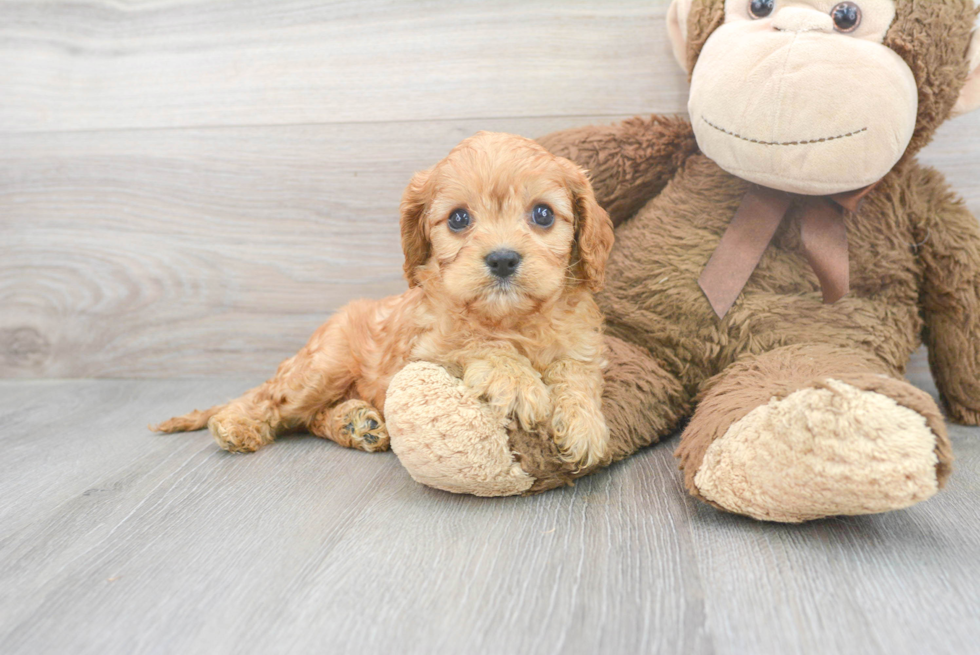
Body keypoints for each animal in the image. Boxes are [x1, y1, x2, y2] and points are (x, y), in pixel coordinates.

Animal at [155, 131, 612, 466]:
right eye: (459, 218)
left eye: (543, 214)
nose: (502, 259)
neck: (511, 318)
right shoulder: (425, 349)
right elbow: (476, 342)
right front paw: (517, 381)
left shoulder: (580, 344)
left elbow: (576, 374)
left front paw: (584, 425)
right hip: (322, 368)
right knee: (274, 402)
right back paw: (235, 425)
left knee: (308, 420)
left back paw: (357, 425)